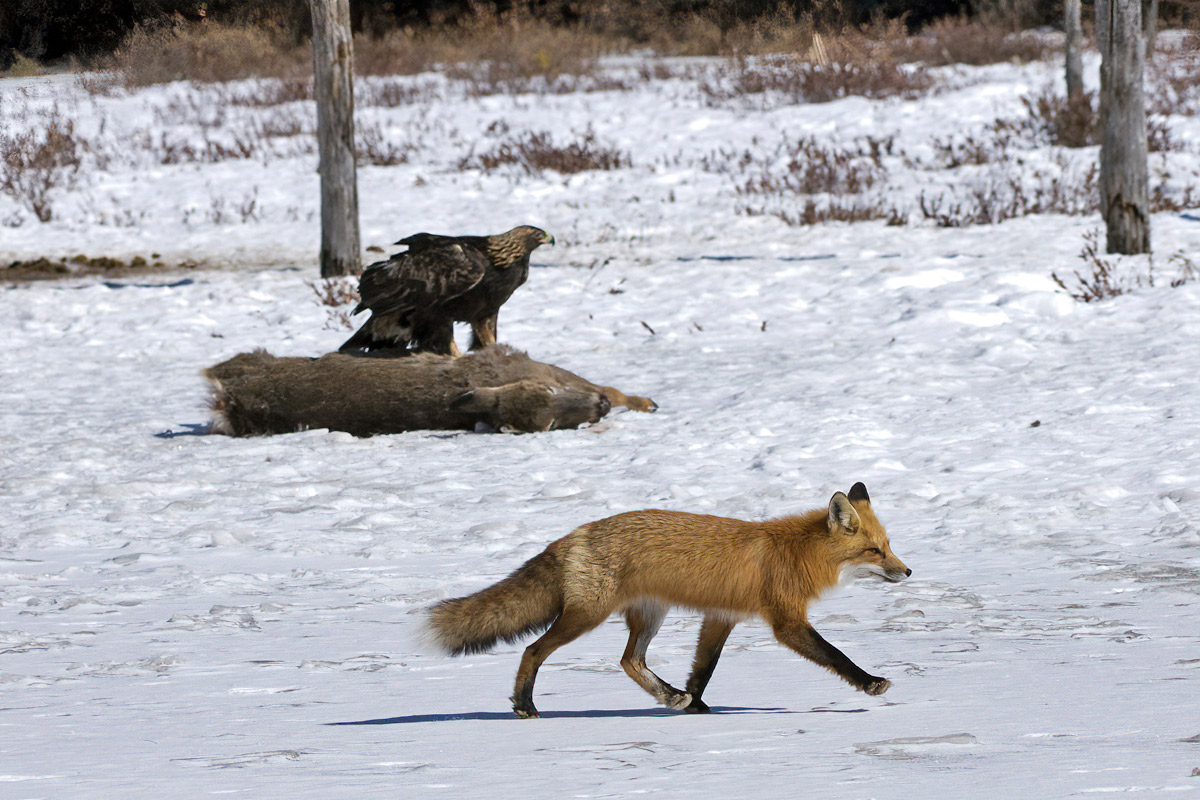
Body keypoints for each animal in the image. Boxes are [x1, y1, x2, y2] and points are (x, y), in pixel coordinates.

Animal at [427, 482, 910, 718]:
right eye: (874, 551)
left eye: (889, 546)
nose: (907, 572)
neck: (797, 552)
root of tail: (572, 535)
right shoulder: (786, 621)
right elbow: (836, 655)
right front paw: (870, 683)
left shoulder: (721, 616)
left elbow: (703, 669)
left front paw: (694, 704)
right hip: (587, 617)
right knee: (532, 650)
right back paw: (524, 706)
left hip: (648, 616)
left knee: (629, 661)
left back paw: (668, 695)